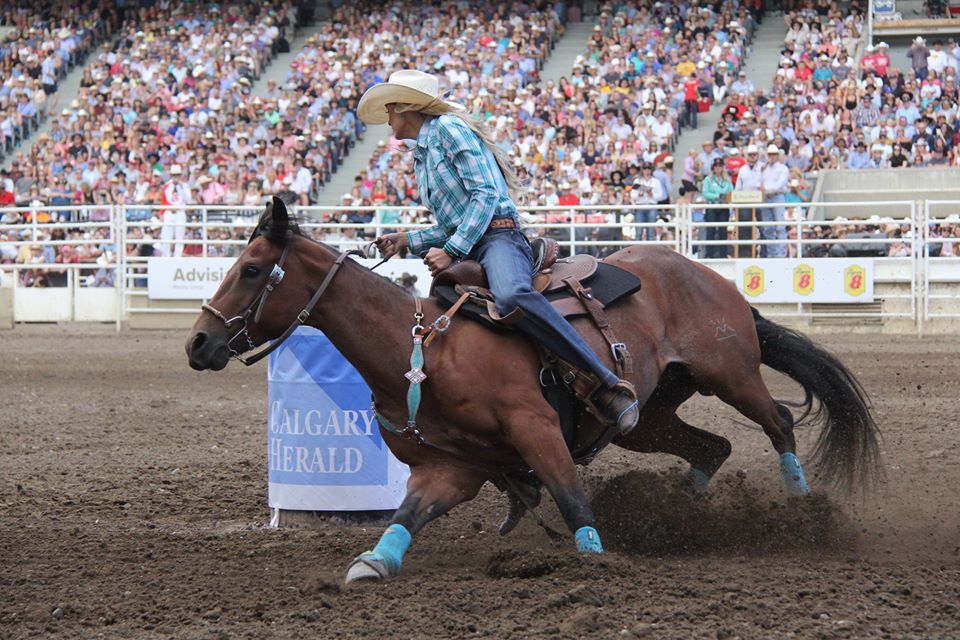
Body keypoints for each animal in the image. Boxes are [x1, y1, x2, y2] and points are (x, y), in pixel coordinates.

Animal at [184, 198, 880, 584]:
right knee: (711, 448)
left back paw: (800, 507)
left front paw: (597, 559)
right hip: (653, 415)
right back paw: (680, 516)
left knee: (778, 421)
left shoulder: (536, 428)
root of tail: (706, 273)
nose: (197, 343)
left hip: (728, 373)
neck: (424, 349)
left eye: (252, 269)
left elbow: (570, 497)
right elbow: (406, 516)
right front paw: (373, 563)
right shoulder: (451, 466)